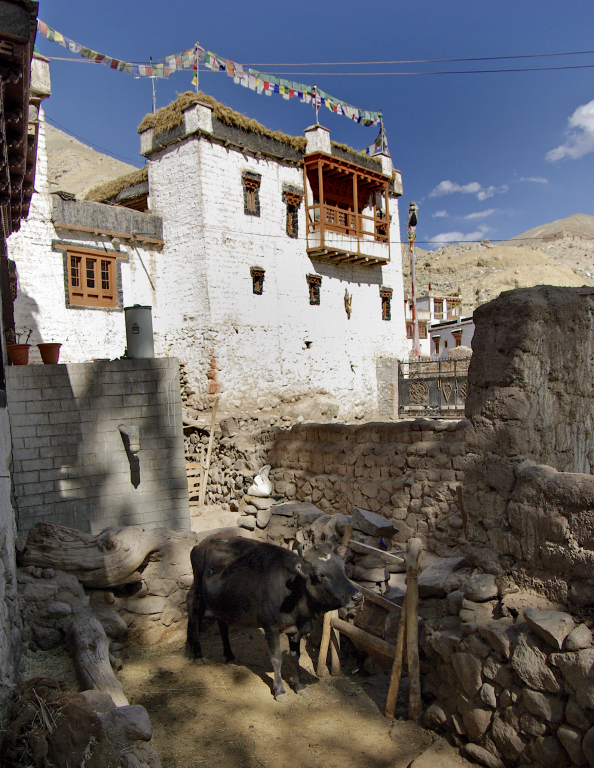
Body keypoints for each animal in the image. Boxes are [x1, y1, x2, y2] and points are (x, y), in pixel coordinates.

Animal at [185, 536, 360, 704]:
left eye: (343, 569)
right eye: (320, 575)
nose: (357, 596)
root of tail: (202, 543)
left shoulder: (296, 631)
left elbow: (295, 656)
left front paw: (299, 685)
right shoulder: (271, 628)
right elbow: (277, 659)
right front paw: (280, 691)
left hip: (222, 601)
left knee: (222, 624)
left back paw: (229, 656)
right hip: (198, 592)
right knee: (192, 610)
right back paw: (197, 654)